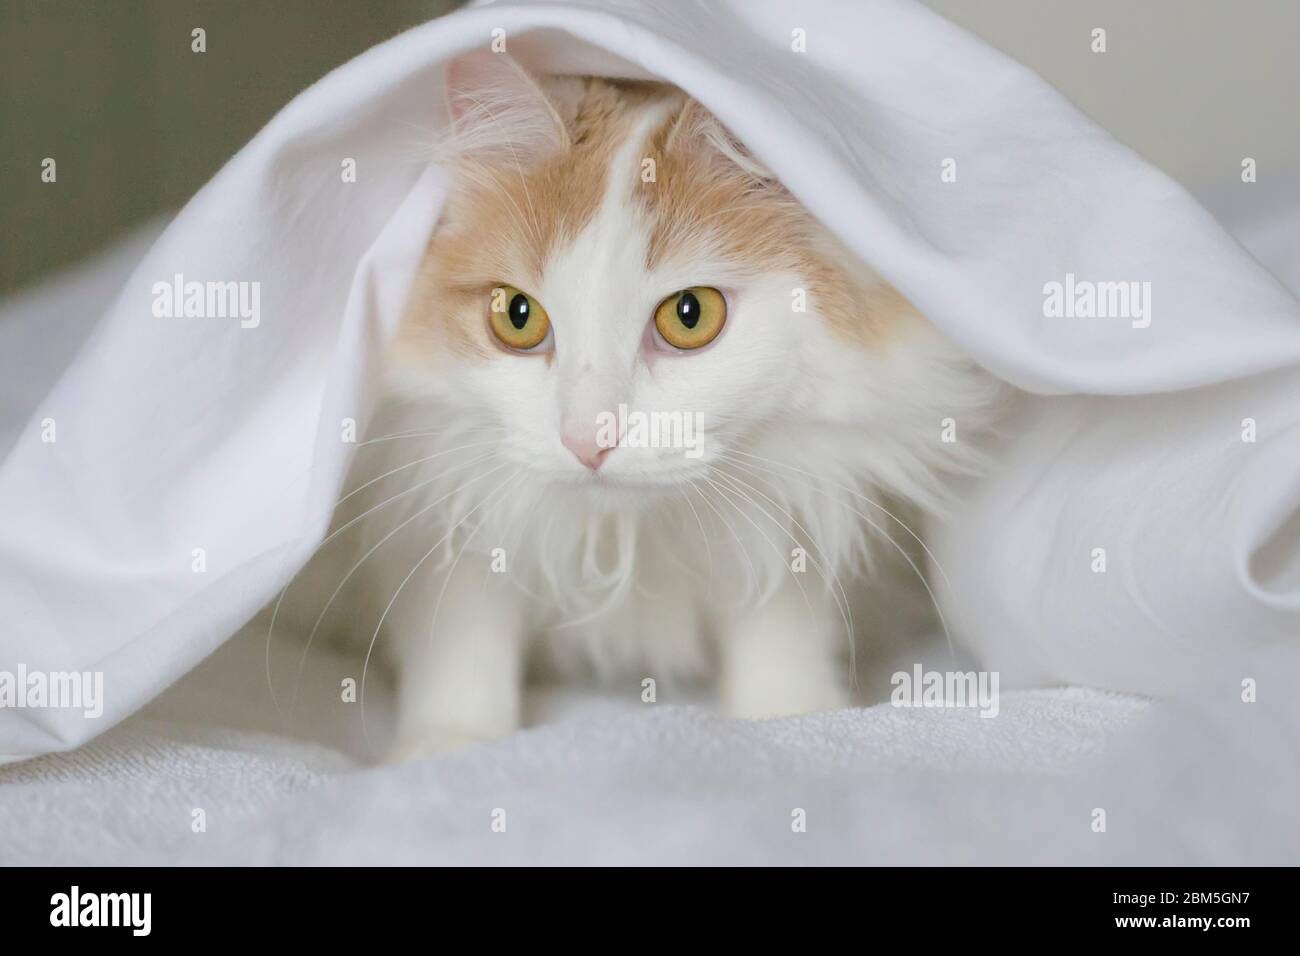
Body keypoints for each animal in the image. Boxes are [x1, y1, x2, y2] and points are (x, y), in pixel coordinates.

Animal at [292, 52, 1003, 764]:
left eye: (690, 315)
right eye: (517, 316)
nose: (587, 440)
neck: (628, 536)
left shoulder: (800, 489)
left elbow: (780, 628)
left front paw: (787, 718)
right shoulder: (434, 487)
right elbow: (462, 636)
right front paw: (450, 747)